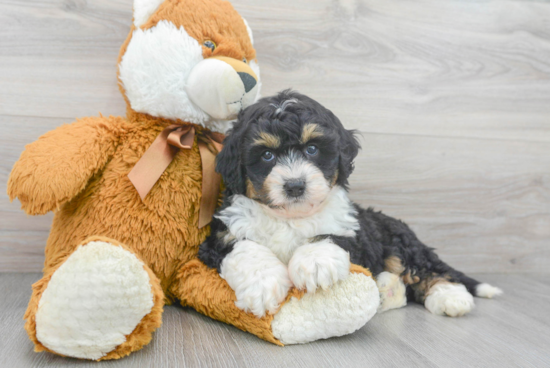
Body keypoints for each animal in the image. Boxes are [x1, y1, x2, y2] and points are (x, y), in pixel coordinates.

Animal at [199, 90, 504, 320]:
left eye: (312, 149)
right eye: (266, 155)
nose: (295, 185)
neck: (291, 217)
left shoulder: (351, 232)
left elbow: (330, 237)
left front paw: (315, 264)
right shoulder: (221, 236)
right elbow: (246, 248)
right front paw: (263, 286)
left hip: (400, 242)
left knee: (427, 268)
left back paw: (450, 297)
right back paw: (387, 289)